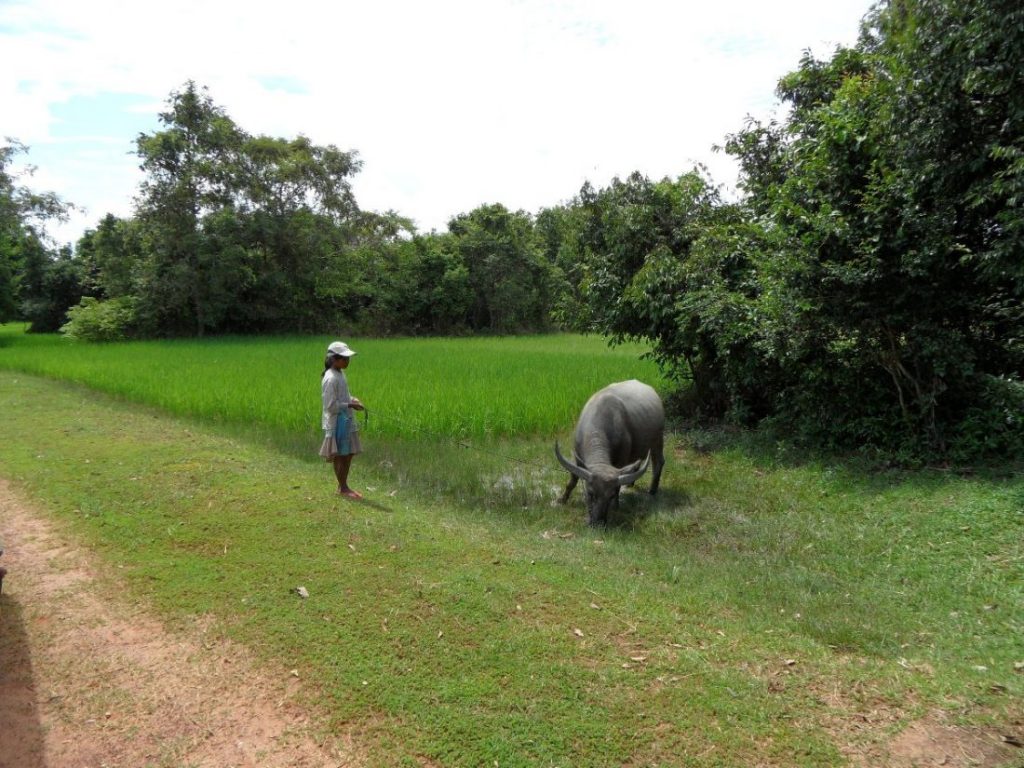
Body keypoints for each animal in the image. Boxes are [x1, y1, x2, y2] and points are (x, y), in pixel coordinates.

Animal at [557, 380, 667, 528]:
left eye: (610, 496)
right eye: (590, 493)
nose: (598, 523)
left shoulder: (622, 459)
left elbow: (618, 485)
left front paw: (616, 506)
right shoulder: (577, 456)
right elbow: (573, 479)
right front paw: (562, 499)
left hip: (658, 439)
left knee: (658, 462)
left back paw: (652, 491)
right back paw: (630, 483)